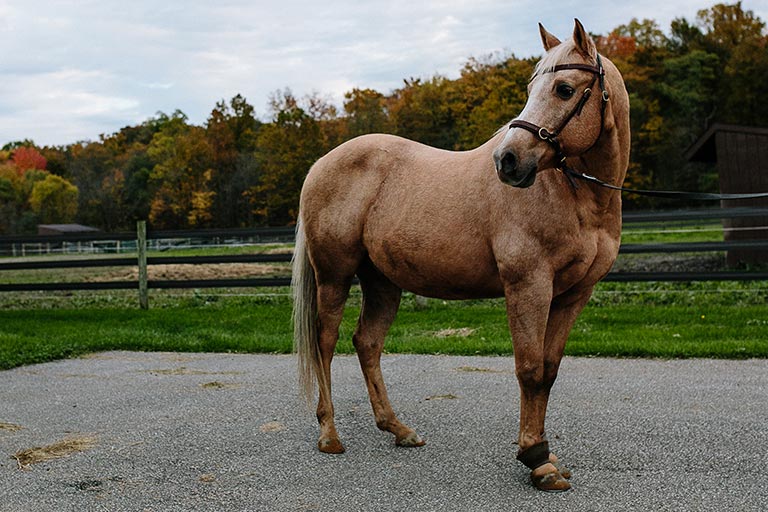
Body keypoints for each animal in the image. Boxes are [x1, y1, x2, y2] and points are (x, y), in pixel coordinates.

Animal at [292, 20, 632, 492]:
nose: (507, 161)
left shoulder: (572, 296)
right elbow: (529, 369)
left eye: (564, 89)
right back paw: (329, 433)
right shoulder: (528, 286)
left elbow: (548, 371)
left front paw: (546, 456)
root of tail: (321, 163)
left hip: (382, 281)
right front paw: (536, 459)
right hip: (334, 275)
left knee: (368, 342)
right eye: (532, 87)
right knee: (325, 342)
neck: (574, 197)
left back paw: (398, 429)